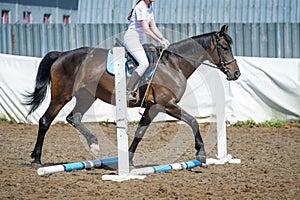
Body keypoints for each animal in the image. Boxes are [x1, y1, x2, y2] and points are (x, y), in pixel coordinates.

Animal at [24, 25, 240, 166]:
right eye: (224, 47)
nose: (236, 74)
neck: (173, 64)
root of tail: (62, 54)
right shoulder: (166, 104)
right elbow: (193, 121)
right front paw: (201, 153)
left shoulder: (153, 107)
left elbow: (139, 133)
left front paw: (128, 160)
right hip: (61, 97)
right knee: (45, 121)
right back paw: (36, 158)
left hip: (86, 97)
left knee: (73, 117)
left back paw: (93, 143)